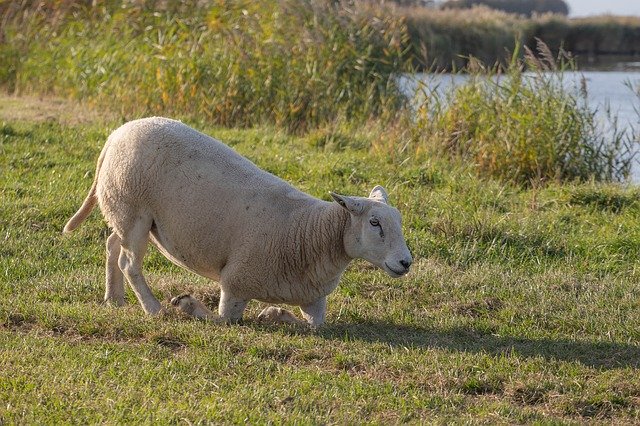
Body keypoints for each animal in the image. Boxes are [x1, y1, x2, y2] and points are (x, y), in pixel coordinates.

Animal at [65, 116, 412, 326]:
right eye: (375, 223)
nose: (406, 262)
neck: (310, 232)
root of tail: (116, 134)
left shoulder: (314, 301)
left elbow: (312, 325)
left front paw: (273, 313)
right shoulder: (235, 282)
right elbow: (222, 320)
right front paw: (186, 305)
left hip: (123, 211)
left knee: (113, 245)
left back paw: (114, 299)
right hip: (133, 207)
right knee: (129, 263)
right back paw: (152, 307)